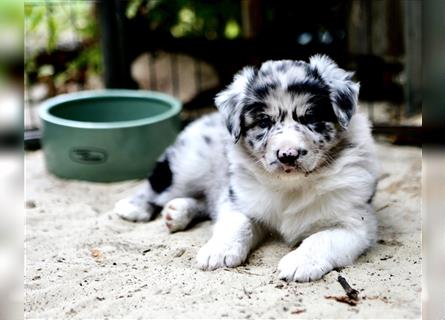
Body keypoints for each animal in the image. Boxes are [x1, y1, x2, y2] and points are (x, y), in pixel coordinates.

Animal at [114, 55, 378, 282]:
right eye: (264, 122)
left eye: (310, 118)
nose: (288, 155)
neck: (292, 187)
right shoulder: (240, 201)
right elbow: (236, 224)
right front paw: (219, 251)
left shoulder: (355, 222)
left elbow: (322, 238)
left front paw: (300, 262)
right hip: (188, 166)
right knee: (159, 186)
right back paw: (135, 207)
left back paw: (177, 212)